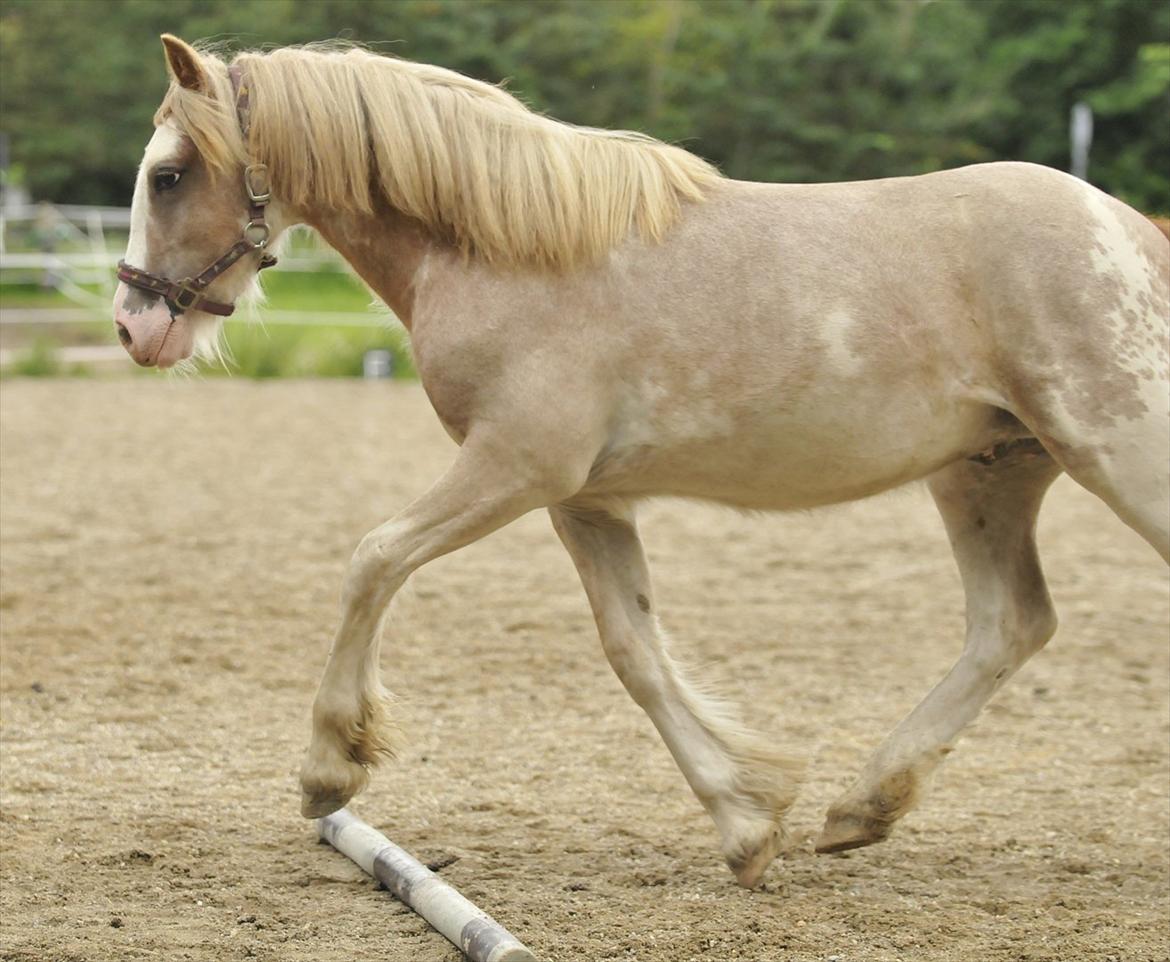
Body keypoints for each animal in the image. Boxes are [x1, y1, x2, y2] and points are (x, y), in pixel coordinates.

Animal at [111, 33, 1170, 894]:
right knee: (1010, 623)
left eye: (168, 175)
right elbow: (635, 652)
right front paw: (746, 824)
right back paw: (862, 808)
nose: (133, 324)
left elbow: (372, 559)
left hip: (1116, 452)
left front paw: (332, 765)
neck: (509, 253)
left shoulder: (516, 469)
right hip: (987, 474)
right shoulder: (586, 501)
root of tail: (1132, 229)